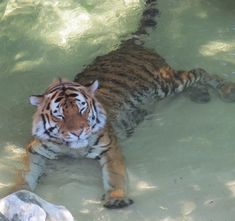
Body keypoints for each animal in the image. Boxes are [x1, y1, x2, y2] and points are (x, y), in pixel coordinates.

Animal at [13, 0, 235, 209]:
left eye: (82, 108)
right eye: (59, 114)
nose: (78, 132)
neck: (73, 148)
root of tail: (127, 46)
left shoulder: (110, 147)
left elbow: (114, 175)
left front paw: (116, 199)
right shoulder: (34, 150)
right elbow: (24, 174)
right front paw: (18, 194)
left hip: (166, 83)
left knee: (199, 72)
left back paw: (226, 90)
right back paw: (201, 94)